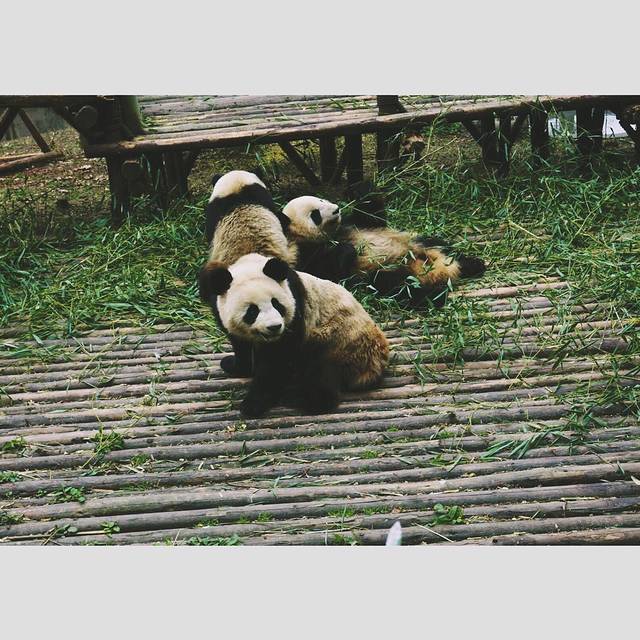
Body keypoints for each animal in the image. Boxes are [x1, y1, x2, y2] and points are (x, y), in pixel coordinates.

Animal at [198, 252, 389, 417]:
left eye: (276, 304)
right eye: (252, 311)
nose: (274, 327)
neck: (250, 265)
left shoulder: (296, 310)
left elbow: (276, 362)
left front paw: (252, 404)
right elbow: (240, 345)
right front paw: (234, 365)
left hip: (340, 340)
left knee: (321, 371)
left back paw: (304, 399)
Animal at [282, 193, 486, 309]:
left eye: (322, 199)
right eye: (315, 214)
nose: (336, 210)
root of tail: (440, 270)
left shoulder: (351, 224)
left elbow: (373, 217)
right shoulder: (306, 254)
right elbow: (329, 272)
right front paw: (347, 250)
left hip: (417, 243)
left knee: (439, 244)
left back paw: (473, 264)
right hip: (384, 272)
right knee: (396, 286)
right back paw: (435, 296)